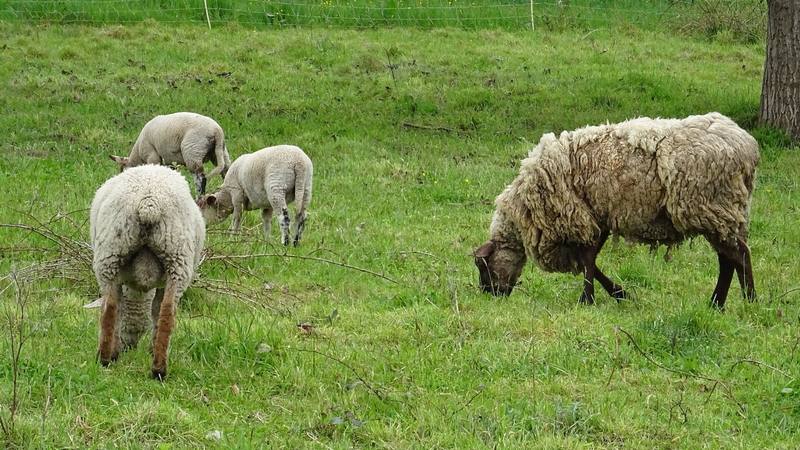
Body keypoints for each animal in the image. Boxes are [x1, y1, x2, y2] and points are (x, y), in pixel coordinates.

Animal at [90, 164, 206, 380]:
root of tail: (148, 204)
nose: (129, 347)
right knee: (163, 312)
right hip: (173, 259)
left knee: (112, 308)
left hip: (113, 256)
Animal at [474, 112, 759, 309]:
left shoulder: (580, 218)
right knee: (728, 259)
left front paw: (588, 299)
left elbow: (587, 260)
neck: (525, 207)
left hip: (713, 206)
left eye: (483, 265)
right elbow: (590, 261)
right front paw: (619, 294)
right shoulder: (596, 218)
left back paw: (749, 301)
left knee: (739, 255)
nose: (491, 295)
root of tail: (748, 146)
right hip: (721, 212)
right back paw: (716, 304)